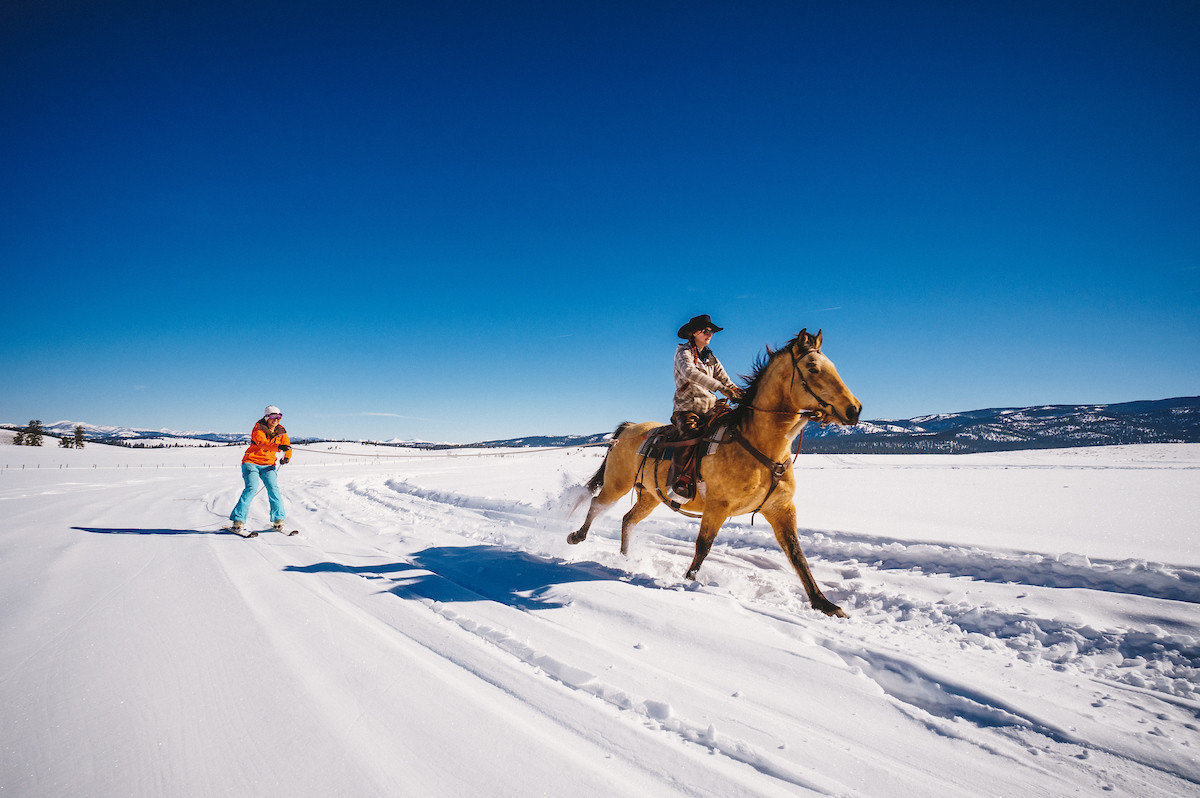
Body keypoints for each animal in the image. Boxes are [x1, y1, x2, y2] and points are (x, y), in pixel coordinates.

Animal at [564, 328, 859, 614]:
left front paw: (825, 604)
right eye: (813, 368)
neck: (757, 444)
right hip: (617, 484)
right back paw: (576, 536)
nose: (854, 409)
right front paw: (689, 582)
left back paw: (627, 558)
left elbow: (797, 554)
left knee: (628, 519)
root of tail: (628, 429)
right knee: (596, 504)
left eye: (832, 366)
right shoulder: (718, 506)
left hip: (649, 495)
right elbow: (703, 546)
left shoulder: (781, 509)